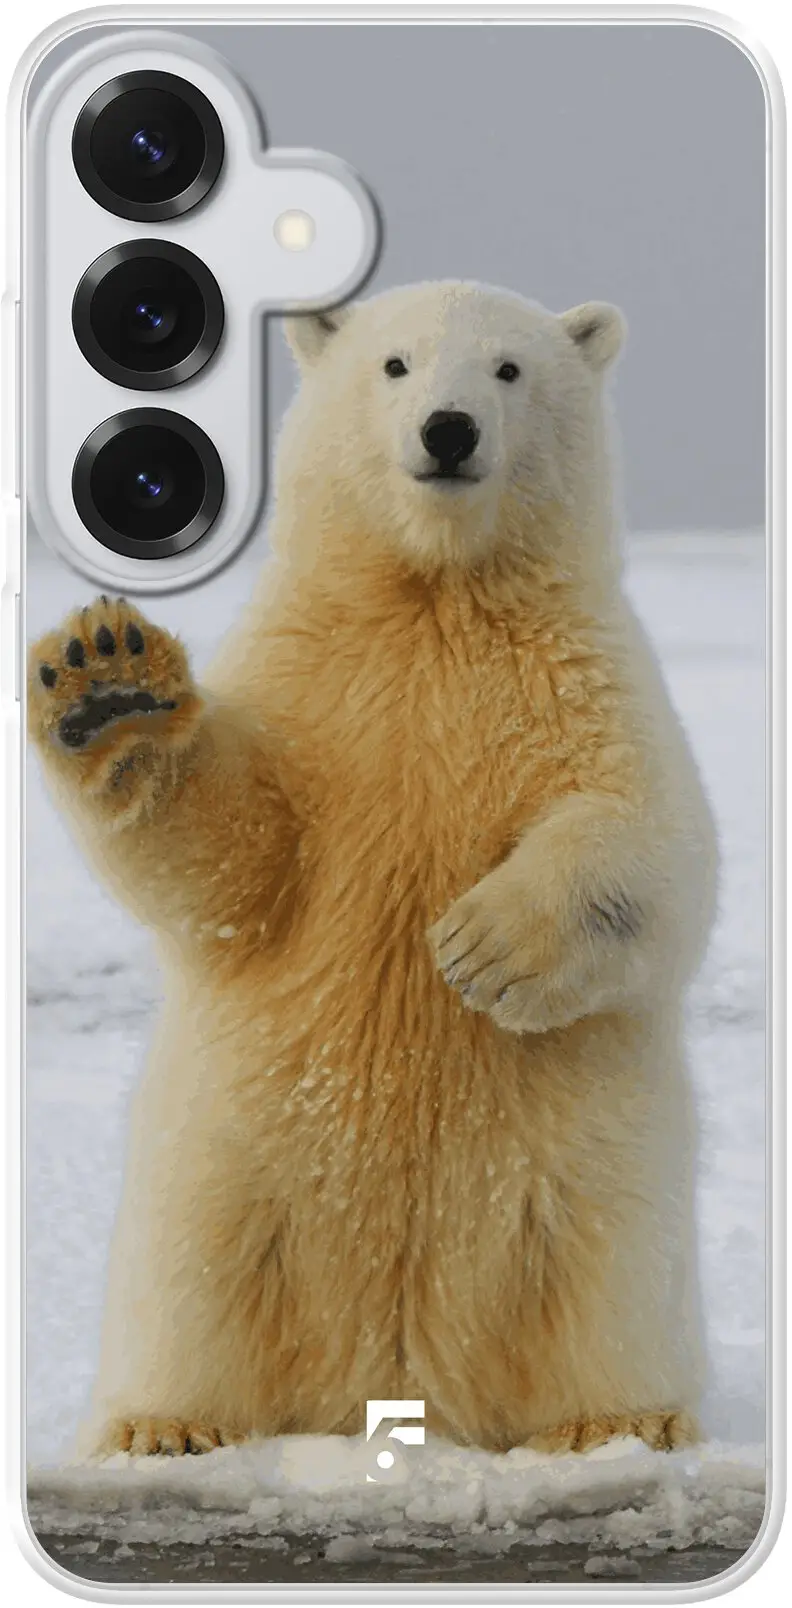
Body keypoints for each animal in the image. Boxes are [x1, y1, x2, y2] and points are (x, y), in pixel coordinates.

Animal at [28, 280, 718, 1461]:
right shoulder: (312, 685)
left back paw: (615, 1421)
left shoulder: (585, 677)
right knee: (195, 1277)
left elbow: (654, 840)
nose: (449, 430)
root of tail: (396, 1381)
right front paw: (108, 683)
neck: (434, 596)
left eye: (508, 369)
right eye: (394, 365)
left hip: (593, 1173)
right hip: (223, 1159)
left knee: (605, 1274)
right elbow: (237, 859)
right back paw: (164, 1424)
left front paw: (482, 947)